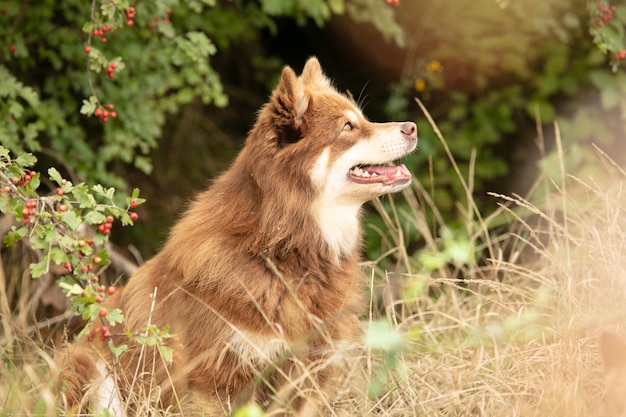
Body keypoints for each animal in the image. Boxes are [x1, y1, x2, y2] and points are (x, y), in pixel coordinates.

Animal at [61, 57, 416, 414]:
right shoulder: (216, 382)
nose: (412, 127)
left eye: (363, 119)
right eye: (347, 127)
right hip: (87, 366)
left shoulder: (312, 372)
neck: (280, 251)